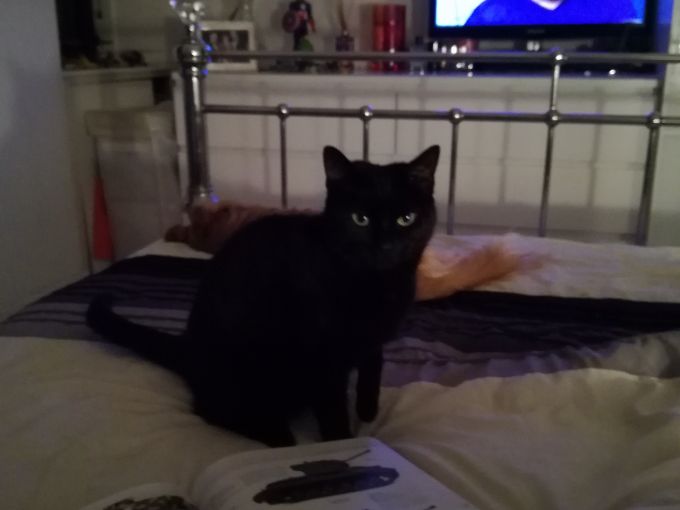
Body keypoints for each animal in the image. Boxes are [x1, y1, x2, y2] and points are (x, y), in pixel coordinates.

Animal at [87, 145, 440, 447]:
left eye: (406, 219)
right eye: (360, 219)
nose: (387, 245)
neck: (377, 283)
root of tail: (189, 348)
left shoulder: (374, 337)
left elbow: (373, 364)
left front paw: (367, 409)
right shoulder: (323, 360)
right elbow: (333, 411)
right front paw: (342, 445)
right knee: (211, 410)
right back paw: (278, 437)